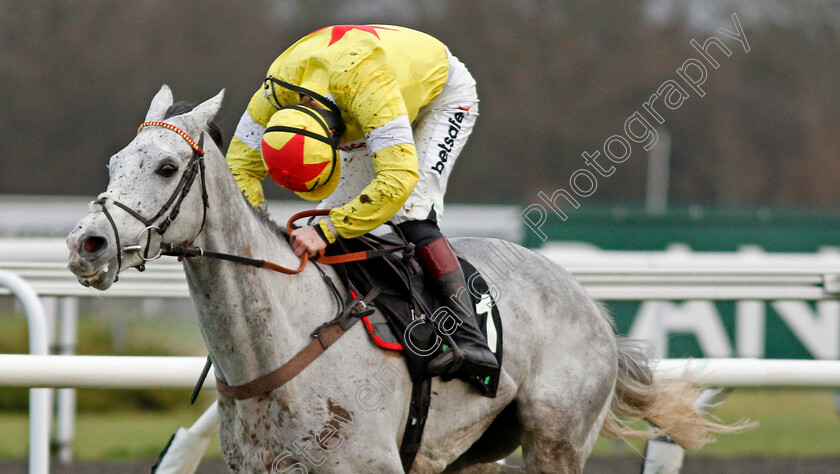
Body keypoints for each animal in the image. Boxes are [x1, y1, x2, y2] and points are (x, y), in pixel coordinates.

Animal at [69, 87, 740, 472]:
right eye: (113, 163)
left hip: (558, 441)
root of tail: (592, 306)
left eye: (166, 167)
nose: (85, 244)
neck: (278, 349)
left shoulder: (372, 465)